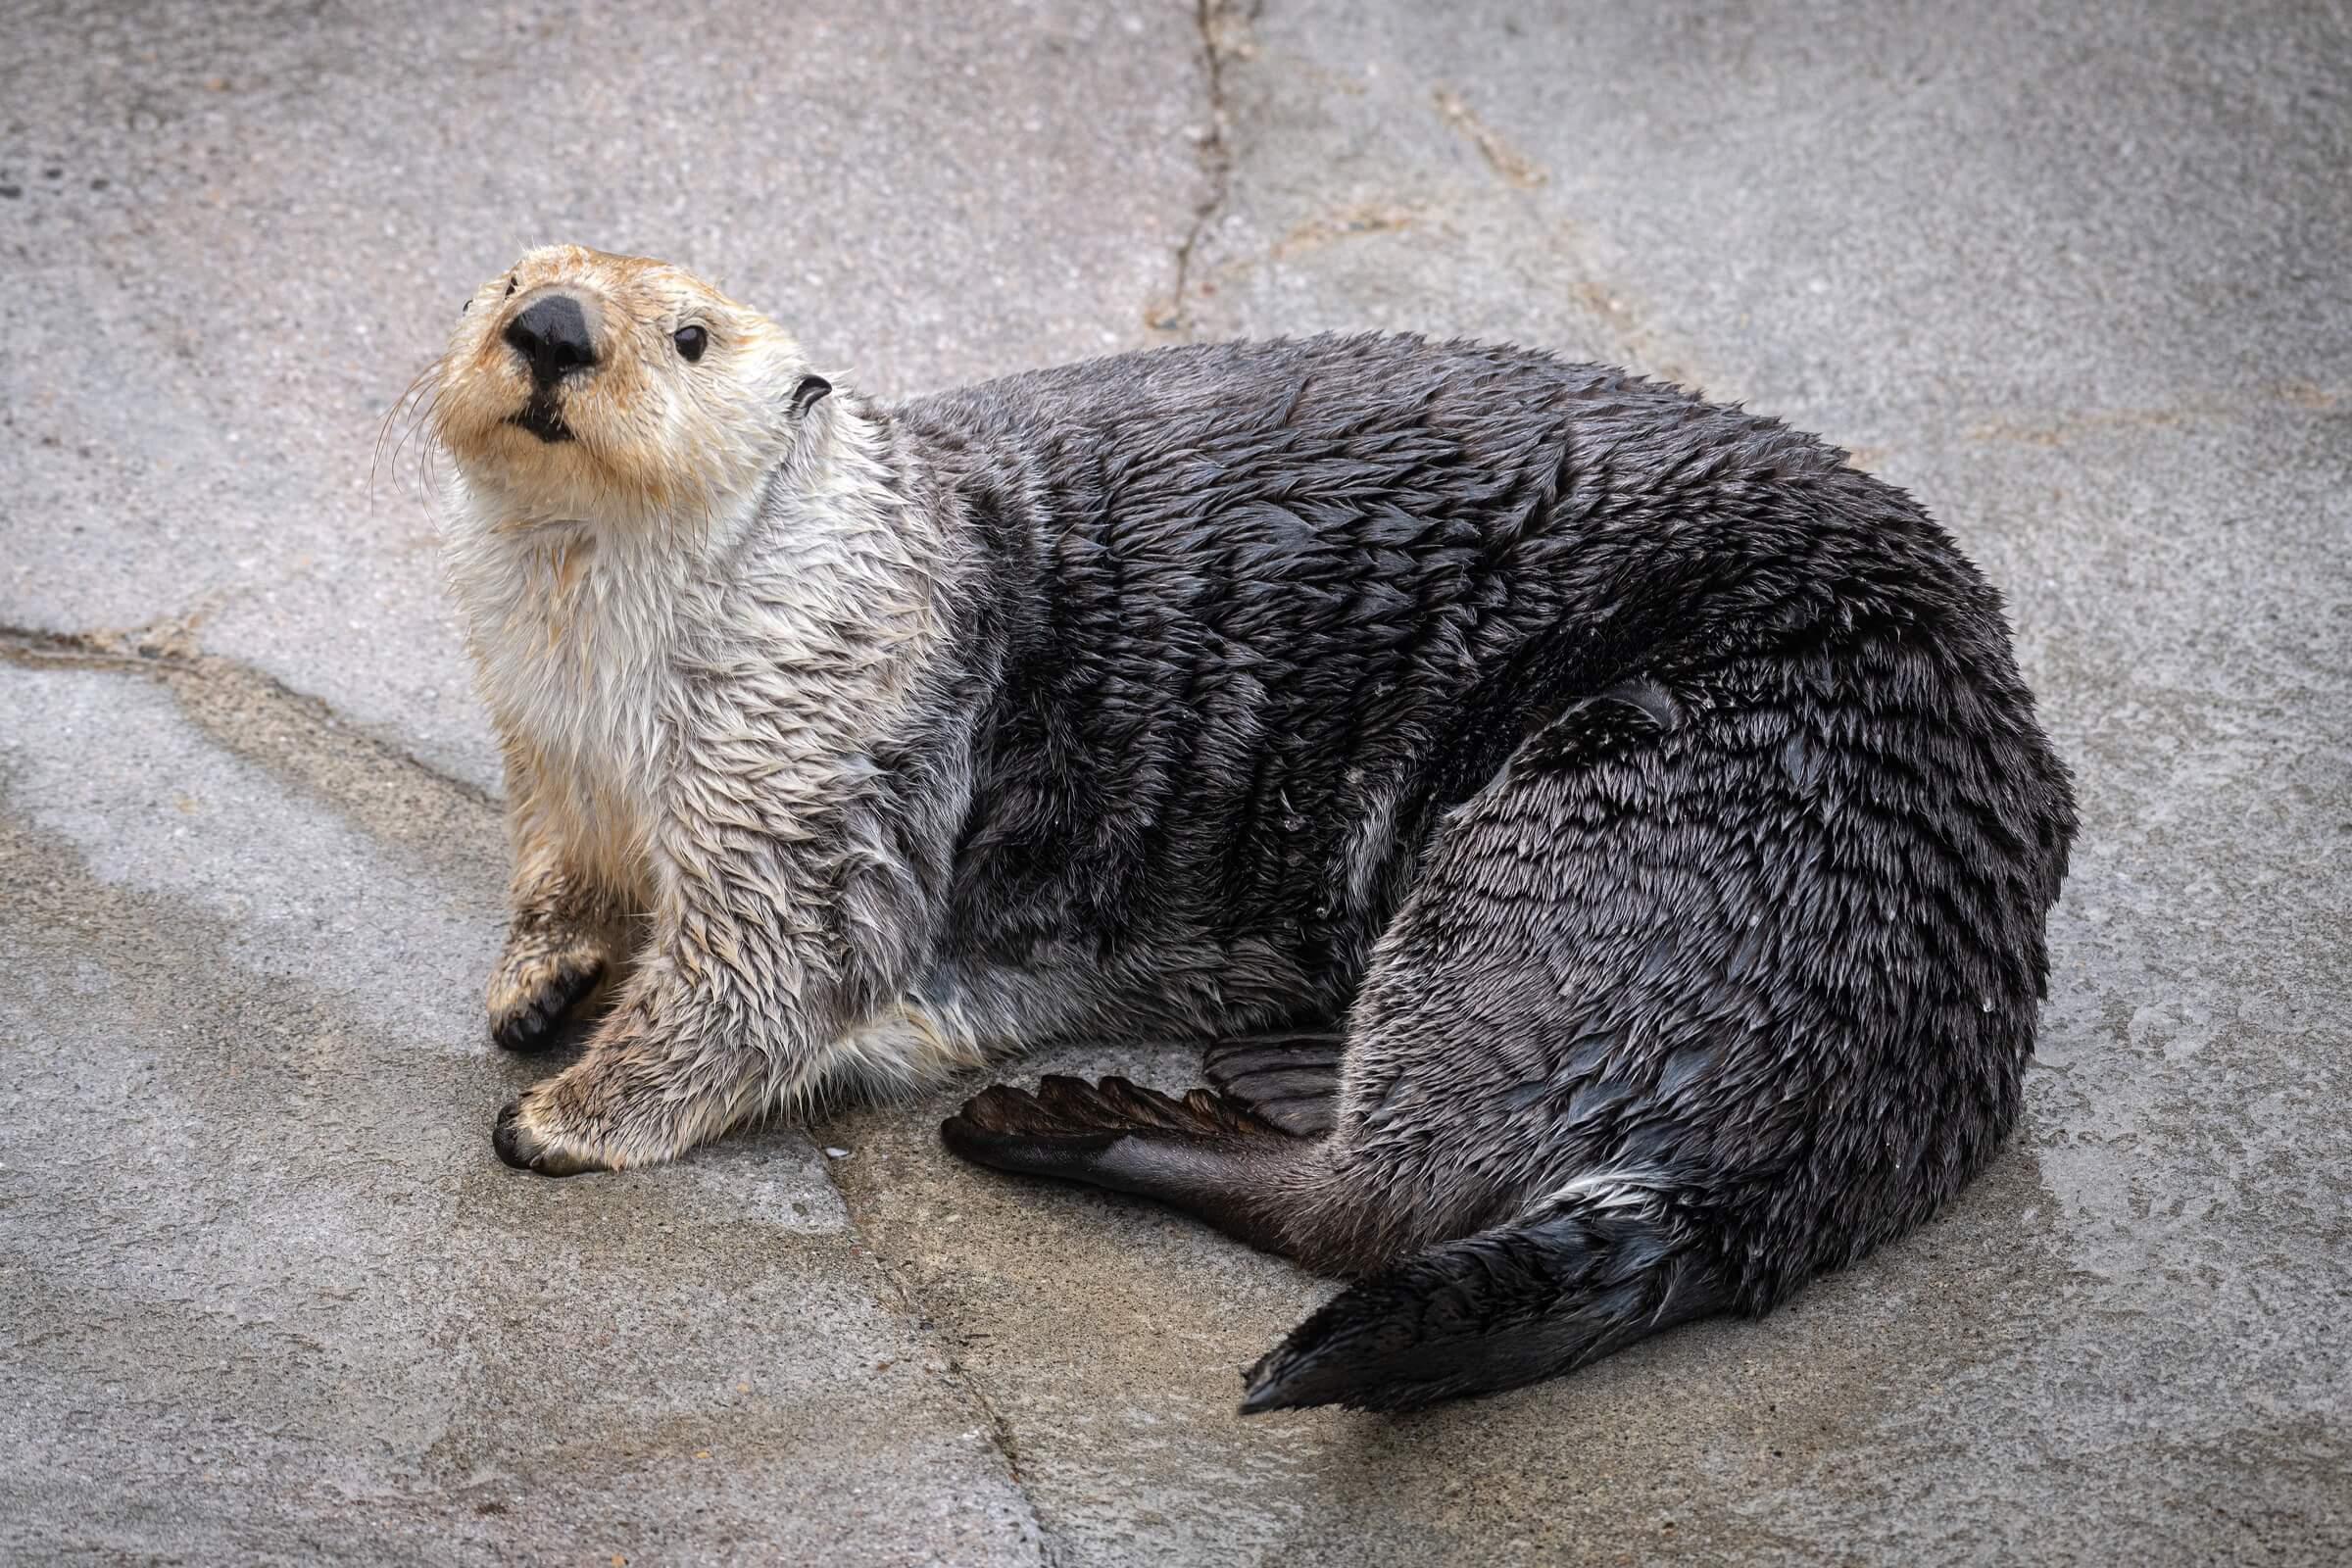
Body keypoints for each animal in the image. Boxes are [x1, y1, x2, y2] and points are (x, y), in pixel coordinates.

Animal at [417, 245, 2075, 1414]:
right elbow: (564, 879)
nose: (551, 325)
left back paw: (1090, 1121)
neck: (607, 691)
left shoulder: (822, 773)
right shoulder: (551, 763)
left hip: (1617, 833)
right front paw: (543, 981)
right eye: (503, 276)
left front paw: (566, 1111)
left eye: (690, 335)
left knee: (1381, 1204)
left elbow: (766, 979)